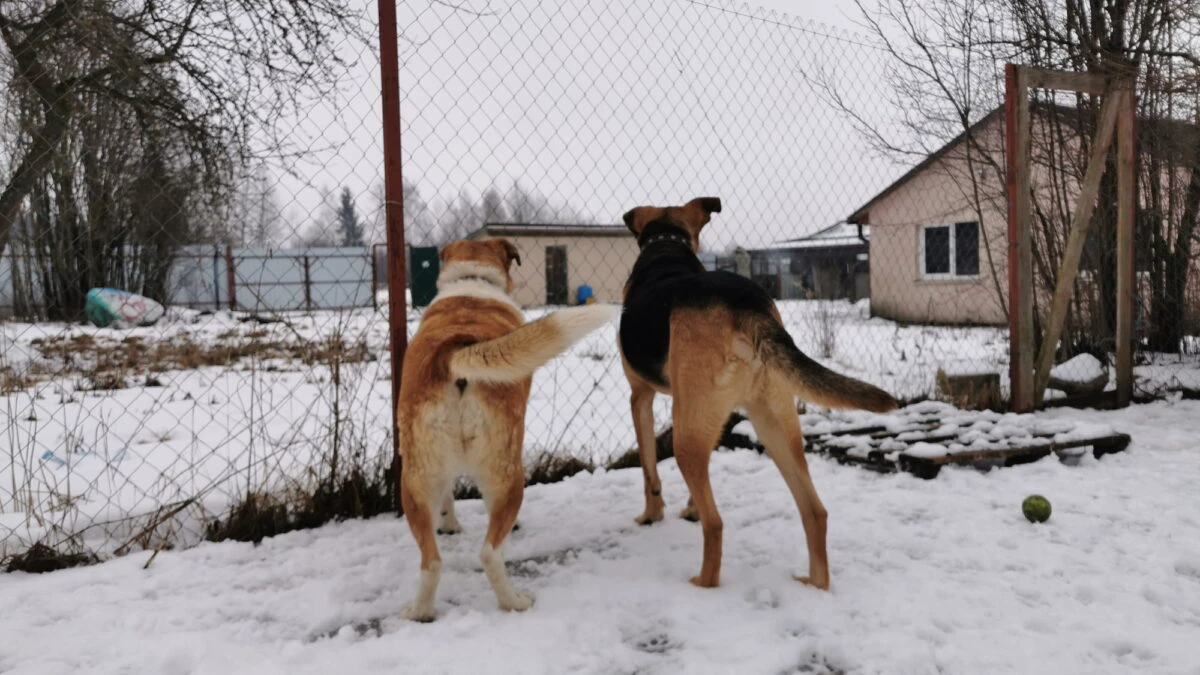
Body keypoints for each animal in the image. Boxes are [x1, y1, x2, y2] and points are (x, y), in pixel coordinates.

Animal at [398, 237, 619, 619]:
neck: (472, 283)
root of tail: (453, 352)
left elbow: (447, 496)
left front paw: (449, 524)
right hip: (509, 472)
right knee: (489, 552)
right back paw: (514, 602)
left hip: (414, 477)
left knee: (432, 561)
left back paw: (421, 611)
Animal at [624, 198, 897, 588]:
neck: (666, 245)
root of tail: (744, 307)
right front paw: (687, 508)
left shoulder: (640, 397)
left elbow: (649, 470)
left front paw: (651, 514)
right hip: (775, 422)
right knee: (815, 511)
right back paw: (815, 584)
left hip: (690, 435)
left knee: (716, 525)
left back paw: (703, 583)